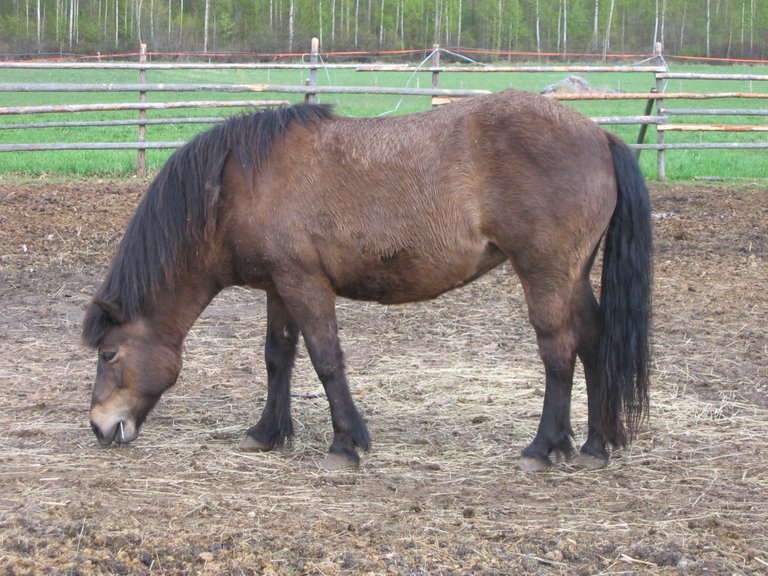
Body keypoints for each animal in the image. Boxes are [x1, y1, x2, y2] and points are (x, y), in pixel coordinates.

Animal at [84, 88, 652, 470]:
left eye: (109, 354)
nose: (99, 427)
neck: (237, 184)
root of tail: (600, 134)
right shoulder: (279, 288)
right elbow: (277, 358)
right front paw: (267, 433)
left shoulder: (305, 284)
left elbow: (325, 360)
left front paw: (345, 445)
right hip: (573, 276)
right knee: (595, 341)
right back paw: (595, 445)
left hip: (546, 274)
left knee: (559, 351)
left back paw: (542, 447)